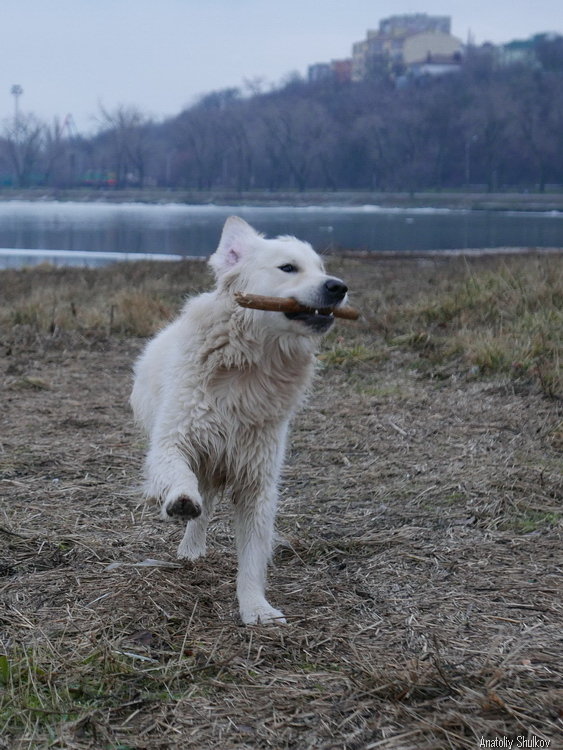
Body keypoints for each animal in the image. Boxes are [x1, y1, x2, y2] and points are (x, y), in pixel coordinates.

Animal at [131, 214, 348, 624]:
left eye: (321, 268)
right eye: (288, 267)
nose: (338, 287)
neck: (249, 366)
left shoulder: (256, 478)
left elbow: (252, 557)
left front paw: (256, 609)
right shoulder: (175, 439)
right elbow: (177, 472)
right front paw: (178, 498)